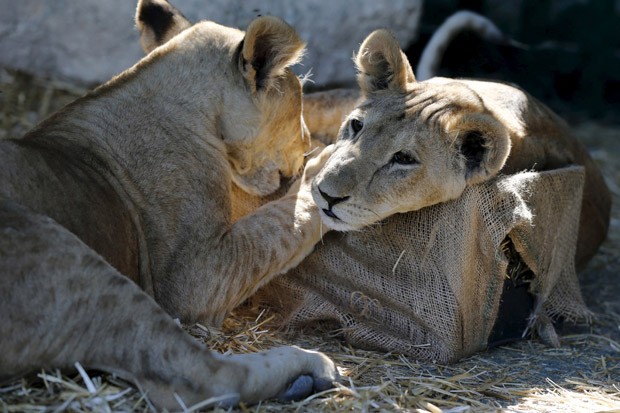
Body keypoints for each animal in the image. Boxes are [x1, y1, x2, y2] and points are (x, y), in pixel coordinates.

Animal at [1, 0, 340, 406]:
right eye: (298, 106)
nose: (306, 141)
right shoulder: (195, 276)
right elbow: (275, 226)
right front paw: (328, 165)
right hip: (67, 256)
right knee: (198, 378)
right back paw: (307, 369)